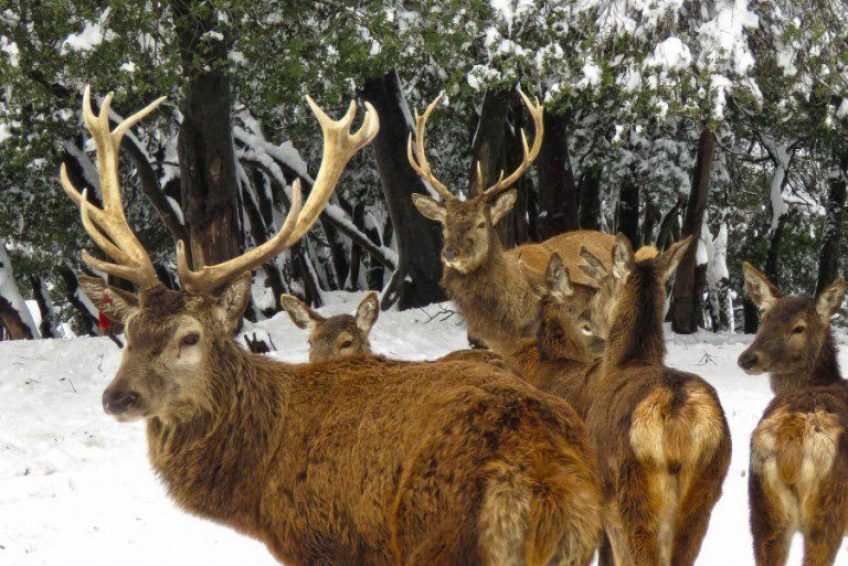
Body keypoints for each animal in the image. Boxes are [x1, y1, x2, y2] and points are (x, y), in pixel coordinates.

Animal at [739, 263, 848, 566]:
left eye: (799, 328)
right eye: (764, 319)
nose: (748, 358)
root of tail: (791, 442)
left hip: (763, 512)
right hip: (828, 512)